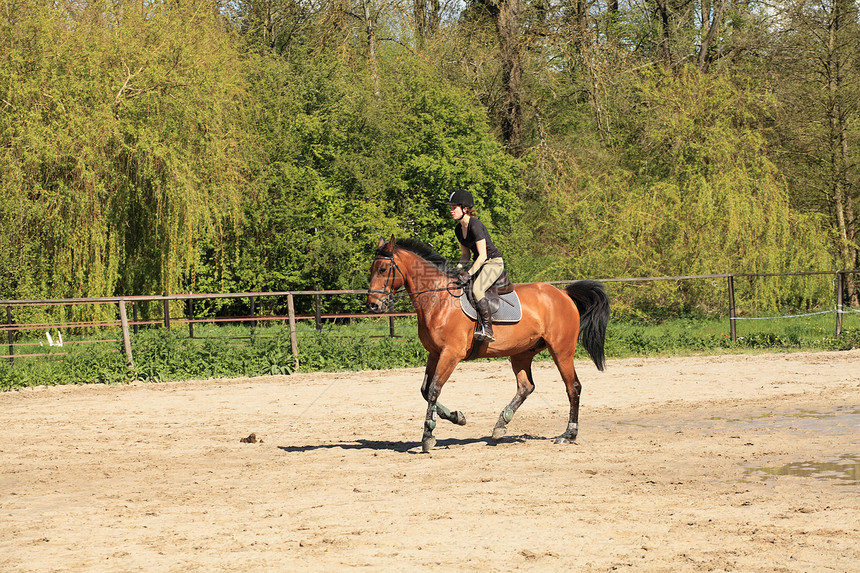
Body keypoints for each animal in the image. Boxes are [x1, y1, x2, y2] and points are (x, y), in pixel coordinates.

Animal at [366, 236, 608, 452]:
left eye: (382, 270)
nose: (373, 306)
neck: (438, 300)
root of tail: (563, 293)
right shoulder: (434, 353)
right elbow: (426, 390)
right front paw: (457, 417)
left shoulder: (451, 353)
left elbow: (434, 389)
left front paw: (428, 435)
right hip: (522, 352)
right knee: (526, 386)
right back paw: (501, 425)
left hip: (561, 350)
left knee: (573, 387)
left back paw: (568, 434)